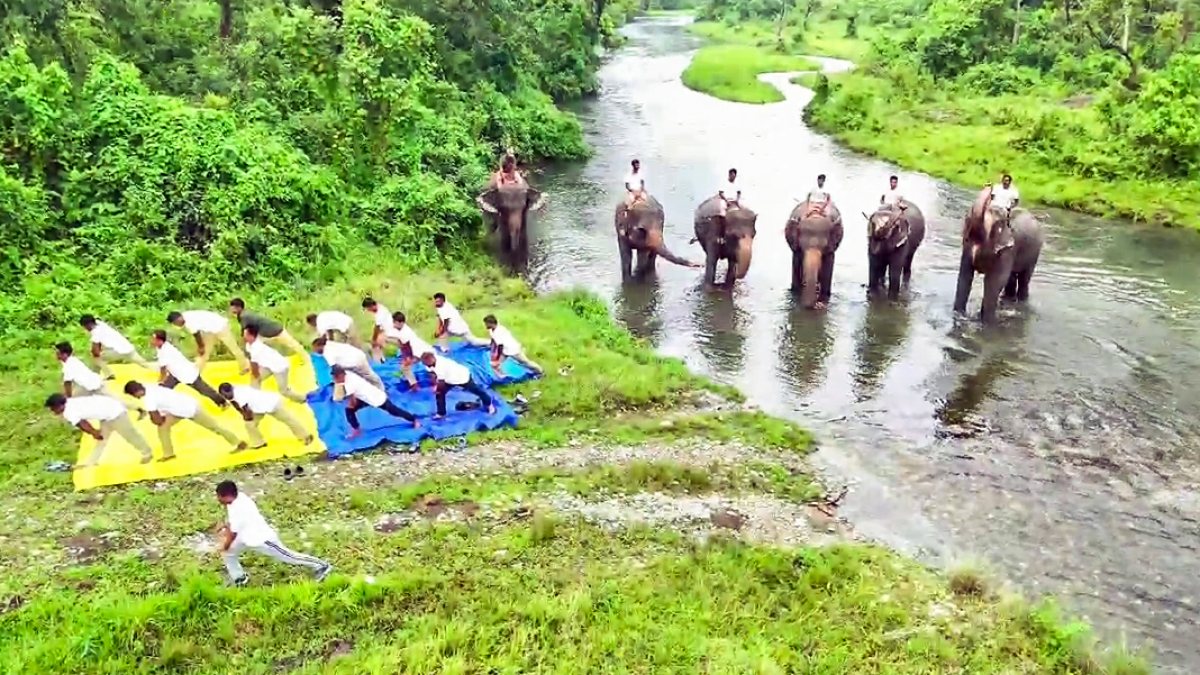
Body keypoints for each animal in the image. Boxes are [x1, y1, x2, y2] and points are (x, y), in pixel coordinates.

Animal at [954, 187, 1045, 323]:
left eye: (995, 226)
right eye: (967, 221)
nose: (989, 186)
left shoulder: (1008, 249)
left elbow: (995, 280)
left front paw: (986, 321)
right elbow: (965, 275)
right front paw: (959, 315)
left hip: (1034, 252)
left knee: (1024, 279)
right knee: (1012, 278)